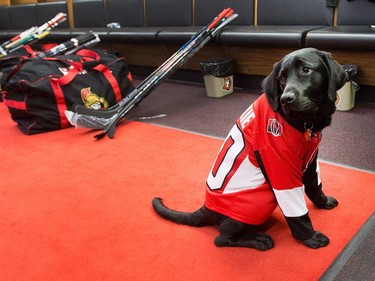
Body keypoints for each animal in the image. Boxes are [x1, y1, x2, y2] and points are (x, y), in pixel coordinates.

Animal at [153, 47, 350, 249]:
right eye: (281, 78)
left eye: (306, 70)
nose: (285, 99)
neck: (305, 125)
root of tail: (205, 209)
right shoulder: (280, 168)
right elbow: (296, 211)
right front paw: (310, 237)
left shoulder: (310, 158)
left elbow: (314, 184)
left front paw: (323, 202)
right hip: (259, 200)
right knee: (221, 238)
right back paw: (258, 239)